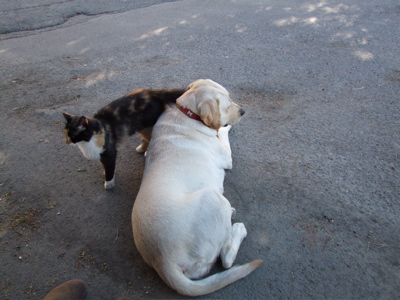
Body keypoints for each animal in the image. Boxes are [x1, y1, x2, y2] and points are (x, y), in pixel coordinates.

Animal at [132, 79, 262, 296]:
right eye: (227, 104)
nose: (243, 111)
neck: (187, 113)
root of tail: (163, 261)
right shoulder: (225, 155)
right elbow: (221, 134)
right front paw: (224, 128)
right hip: (212, 197)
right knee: (226, 259)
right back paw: (237, 229)